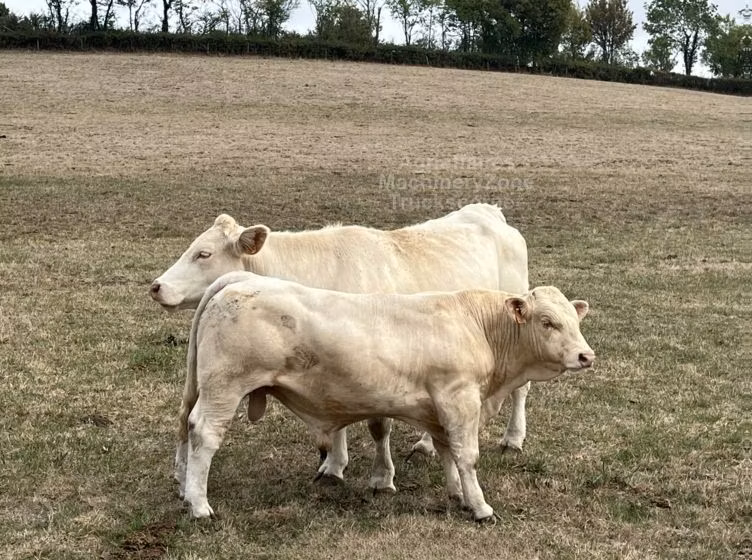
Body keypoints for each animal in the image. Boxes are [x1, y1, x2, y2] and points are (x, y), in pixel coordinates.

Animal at [152, 204, 530, 488]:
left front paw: (381, 477)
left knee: (520, 390)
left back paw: (513, 437)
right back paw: (426, 444)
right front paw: (334, 465)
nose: (156, 286)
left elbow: (379, 426)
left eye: (203, 254)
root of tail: (488, 212)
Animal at [176, 272, 594, 521]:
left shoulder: (440, 409)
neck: (478, 326)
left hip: (201, 388)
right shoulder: (459, 399)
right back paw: (199, 504)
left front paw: (458, 494)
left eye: (575, 321)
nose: (585, 356)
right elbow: (467, 455)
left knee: (184, 426)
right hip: (224, 388)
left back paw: (182, 488)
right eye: (548, 322)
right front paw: (479, 506)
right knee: (204, 435)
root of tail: (241, 280)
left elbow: (448, 451)